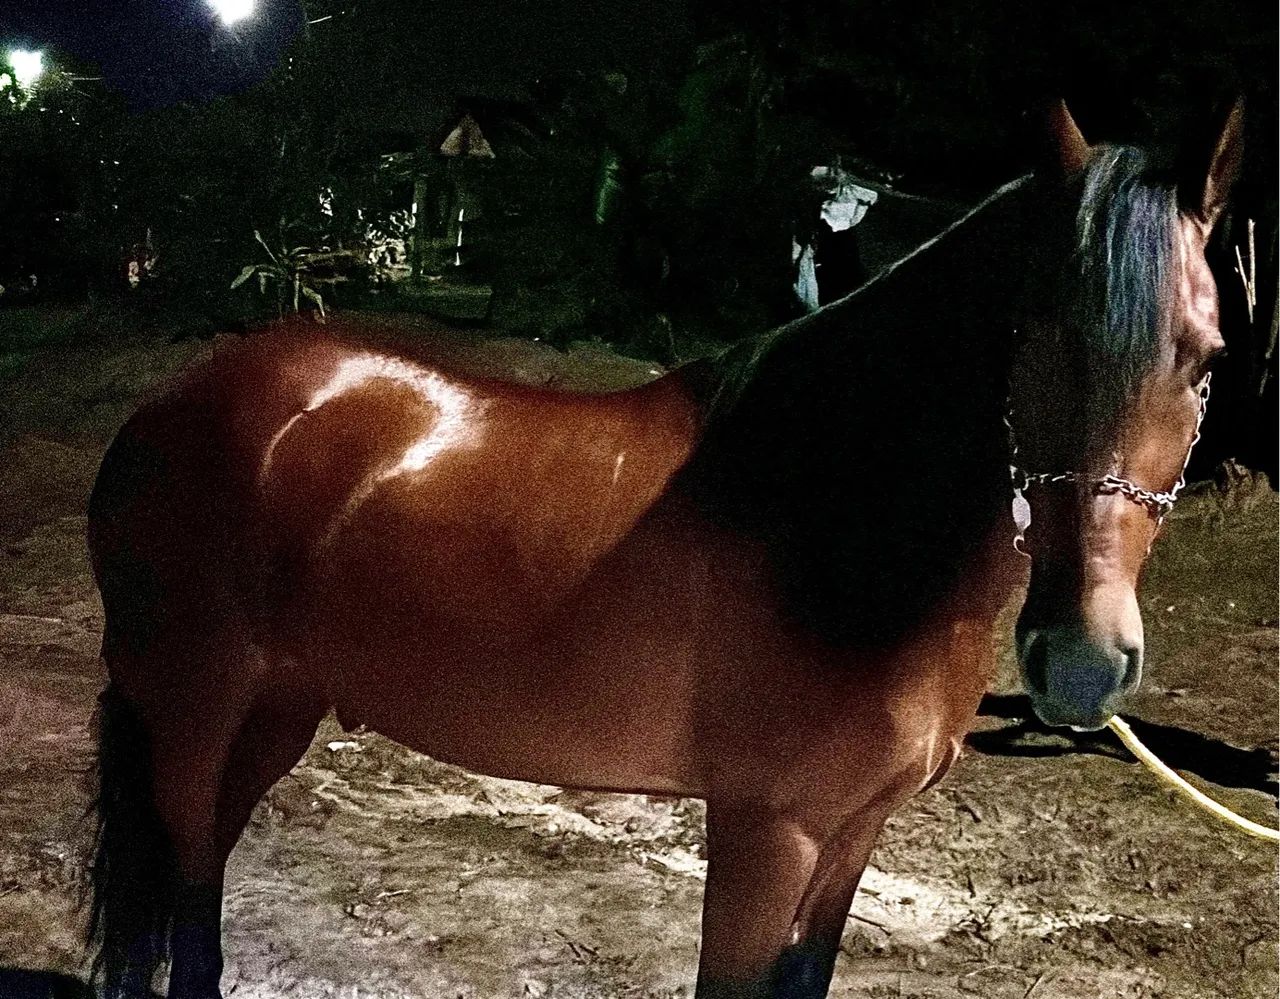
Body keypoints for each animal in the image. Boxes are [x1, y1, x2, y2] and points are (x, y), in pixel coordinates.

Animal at [84, 100, 1242, 999]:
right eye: (1032, 336)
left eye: (1204, 360)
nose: (1081, 661)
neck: (830, 512)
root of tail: (175, 402)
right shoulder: (766, 832)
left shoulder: (851, 837)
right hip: (191, 717)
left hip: (275, 710)